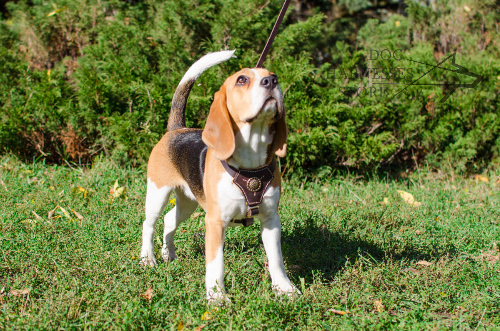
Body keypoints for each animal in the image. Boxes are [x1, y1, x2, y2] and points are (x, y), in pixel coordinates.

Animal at [139, 50, 298, 302]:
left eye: (274, 75)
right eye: (242, 80)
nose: (271, 82)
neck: (249, 165)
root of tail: (176, 129)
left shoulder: (271, 218)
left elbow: (276, 259)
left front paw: (285, 288)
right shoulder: (214, 222)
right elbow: (216, 263)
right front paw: (217, 298)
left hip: (188, 202)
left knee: (169, 220)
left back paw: (169, 254)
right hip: (157, 192)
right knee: (149, 223)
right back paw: (148, 259)